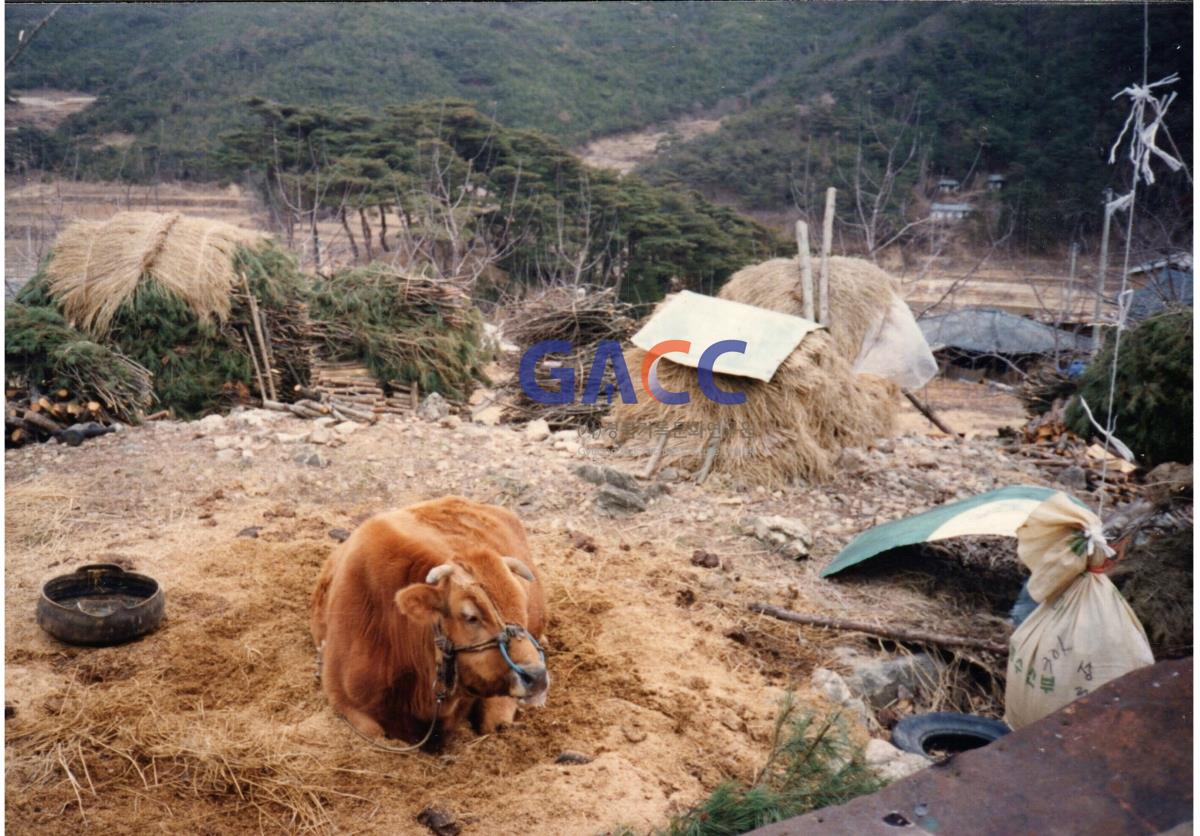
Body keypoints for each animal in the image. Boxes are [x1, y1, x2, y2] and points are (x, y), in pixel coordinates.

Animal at [312, 491, 549, 748]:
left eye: (521, 605)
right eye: (470, 617)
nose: (536, 676)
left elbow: (494, 721)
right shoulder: (341, 697)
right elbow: (372, 730)